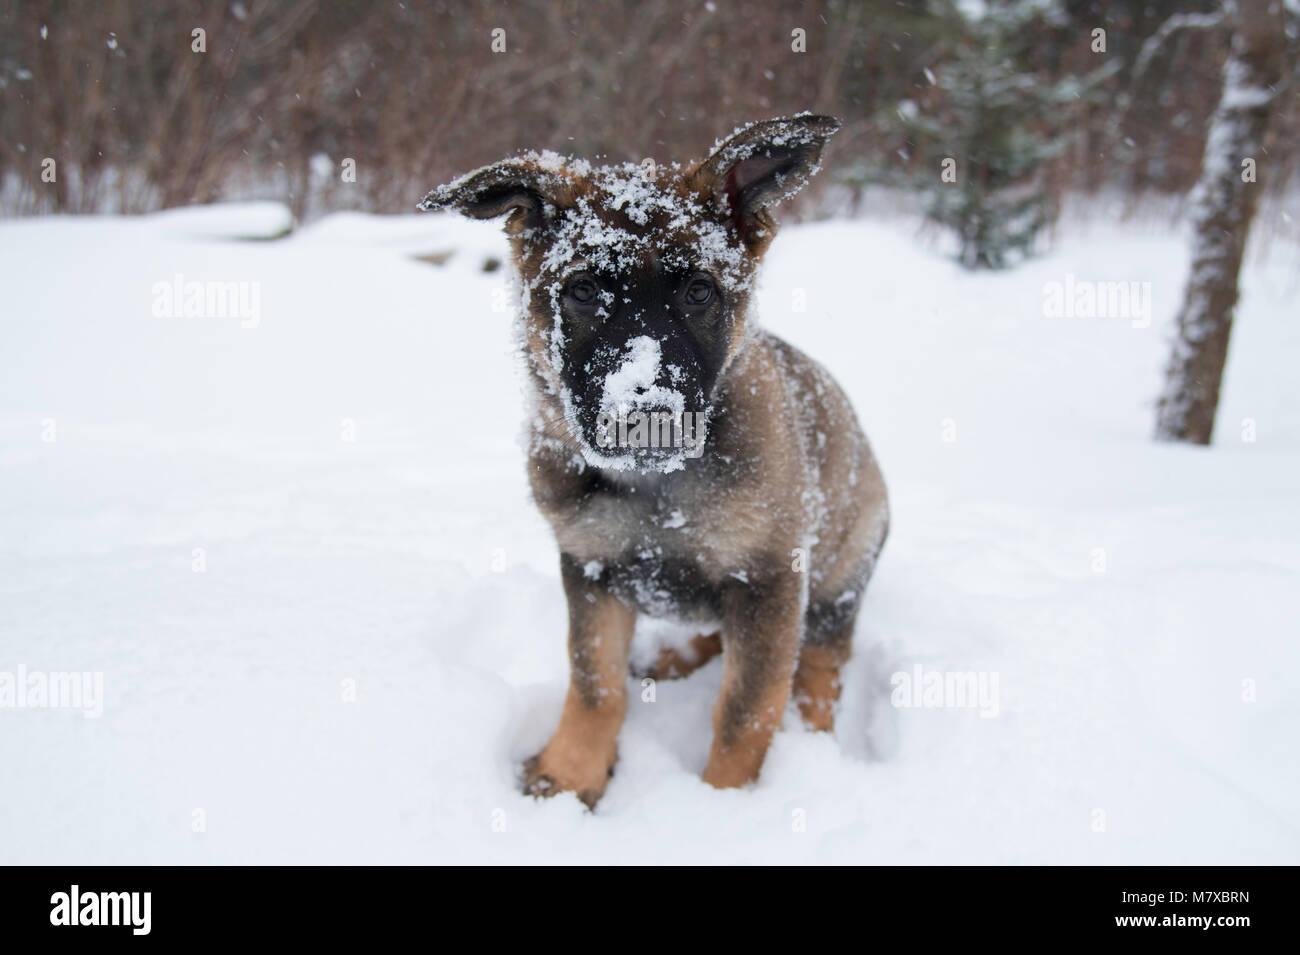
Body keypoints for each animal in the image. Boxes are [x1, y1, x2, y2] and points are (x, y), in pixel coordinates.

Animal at [421, 115, 889, 810]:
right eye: (584, 290)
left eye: (698, 291)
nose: (646, 412)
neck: (655, 487)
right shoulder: (590, 567)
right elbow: (596, 683)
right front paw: (570, 775)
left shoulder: (769, 582)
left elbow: (747, 709)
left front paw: (723, 804)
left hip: (837, 579)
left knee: (820, 666)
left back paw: (813, 736)